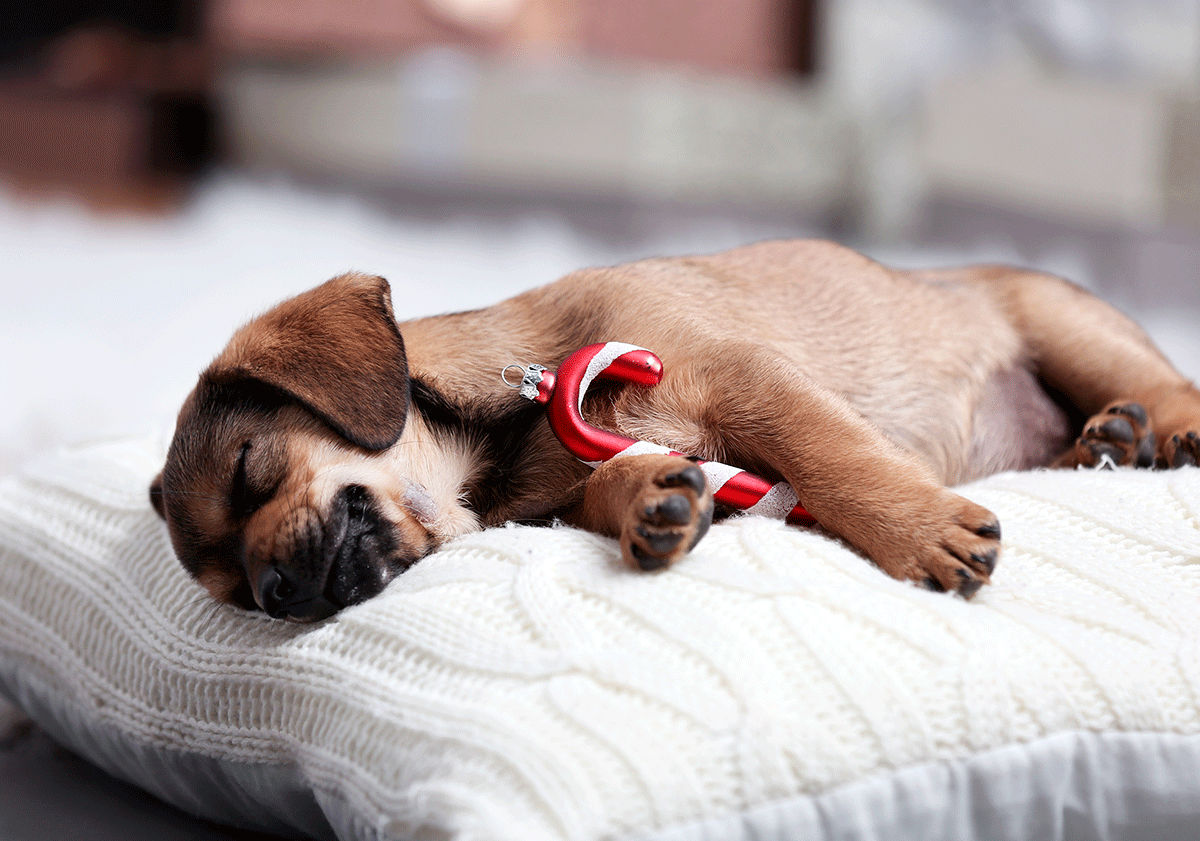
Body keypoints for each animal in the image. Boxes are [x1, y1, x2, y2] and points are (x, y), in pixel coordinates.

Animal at [150, 239, 1200, 619]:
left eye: (250, 469)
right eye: (239, 599)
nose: (280, 593)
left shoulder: (747, 382)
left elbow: (837, 458)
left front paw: (916, 532)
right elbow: (622, 484)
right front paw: (651, 501)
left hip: (1062, 325)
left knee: (1163, 376)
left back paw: (1162, 429)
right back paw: (1105, 442)